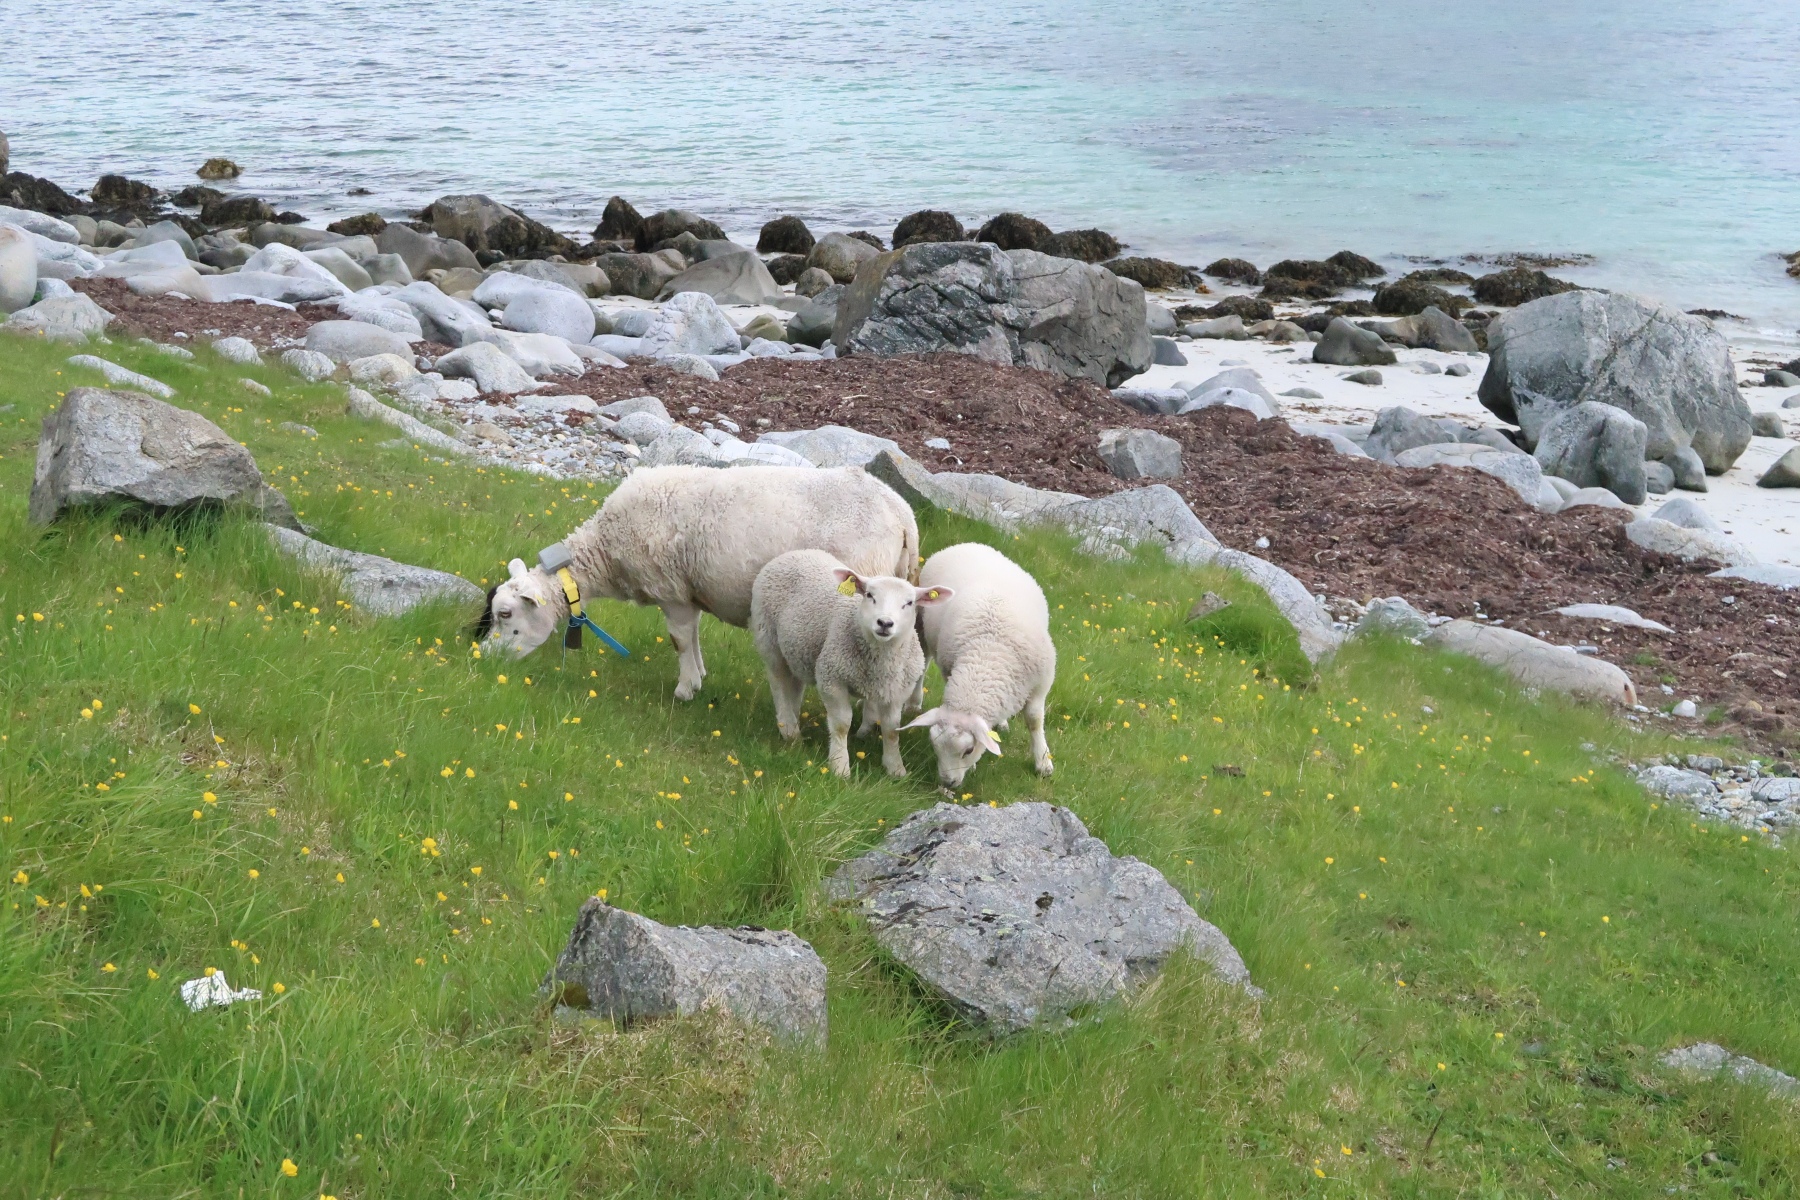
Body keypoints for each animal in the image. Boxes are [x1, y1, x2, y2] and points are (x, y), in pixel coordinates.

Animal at [477, 465, 919, 701]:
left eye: (505, 614)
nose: (483, 658)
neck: (605, 551)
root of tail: (902, 512)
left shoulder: (669, 590)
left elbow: (678, 640)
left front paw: (685, 689)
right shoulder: (691, 589)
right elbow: (695, 637)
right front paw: (701, 674)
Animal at [750, 550, 952, 777]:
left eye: (909, 602)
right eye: (869, 595)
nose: (885, 623)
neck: (880, 660)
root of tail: (796, 553)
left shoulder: (897, 690)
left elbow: (892, 729)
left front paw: (895, 768)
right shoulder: (832, 679)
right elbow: (841, 724)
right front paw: (840, 767)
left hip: (797, 649)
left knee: (794, 684)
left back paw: (793, 722)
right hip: (768, 637)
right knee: (778, 683)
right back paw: (789, 729)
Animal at [904, 542, 1057, 787]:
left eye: (968, 750)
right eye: (935, 748)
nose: (947, 783)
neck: (987, 658)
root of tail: (967, 544)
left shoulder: (1041, 683)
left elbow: (1034, 720)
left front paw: (1043, 762)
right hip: (921, 622)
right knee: (923, 663)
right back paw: (914, 702)